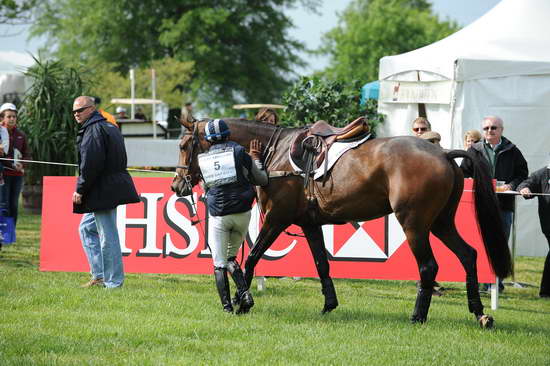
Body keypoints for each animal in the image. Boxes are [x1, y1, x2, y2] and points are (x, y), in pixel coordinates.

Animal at [171, 118, 512, 328]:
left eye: (184, 145)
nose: (177, 185)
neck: (273, 153)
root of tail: (443, 154)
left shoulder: (277, 220)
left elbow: (251, 259)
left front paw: (241, 302)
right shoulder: (309, 224)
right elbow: (322, 264)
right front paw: (329, 304)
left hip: (414, 224)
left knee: (428, 267)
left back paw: (418, 316)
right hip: (440, 223)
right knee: (468, 255)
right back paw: (479, 313)